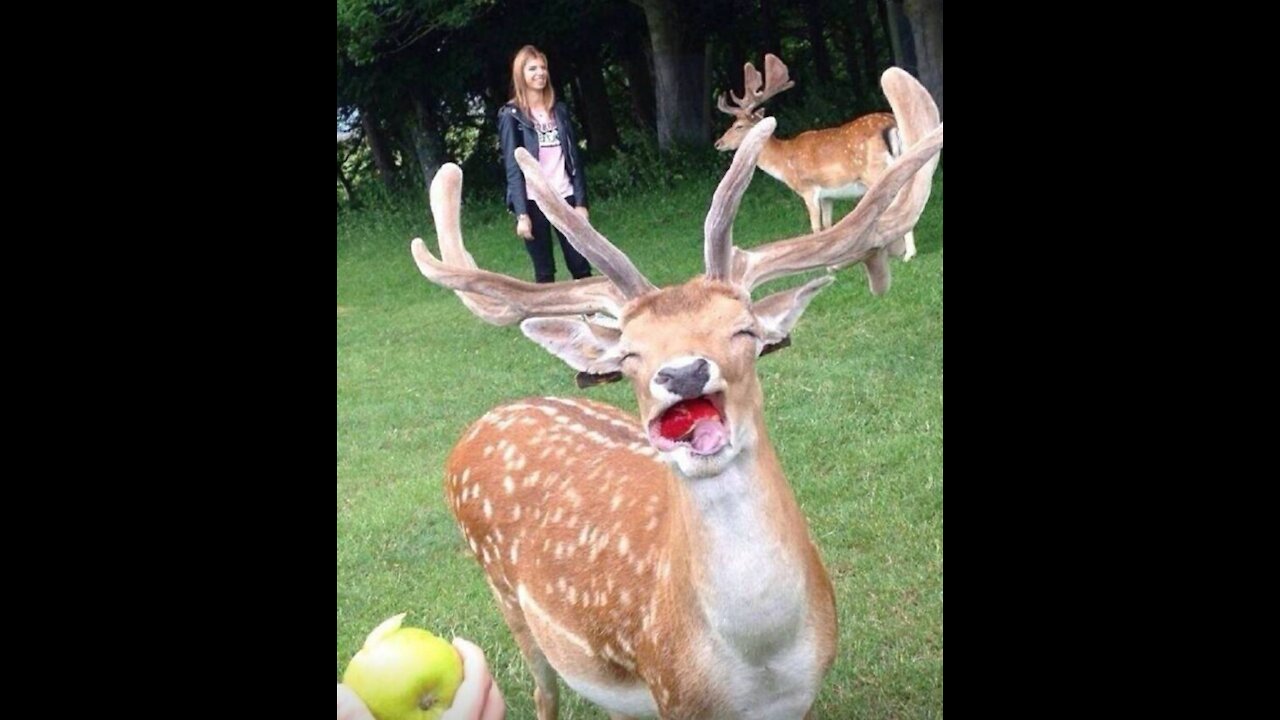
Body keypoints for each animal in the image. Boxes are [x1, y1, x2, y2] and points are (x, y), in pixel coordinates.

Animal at [711, 53, 921, 260]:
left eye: (739, 126)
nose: (718, 143)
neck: (784, 162)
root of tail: (891, 124)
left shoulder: (808, 189)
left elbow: (816, 227)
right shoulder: (827, 194)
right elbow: (828, 226)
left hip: (875, 172)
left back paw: (908, 253)